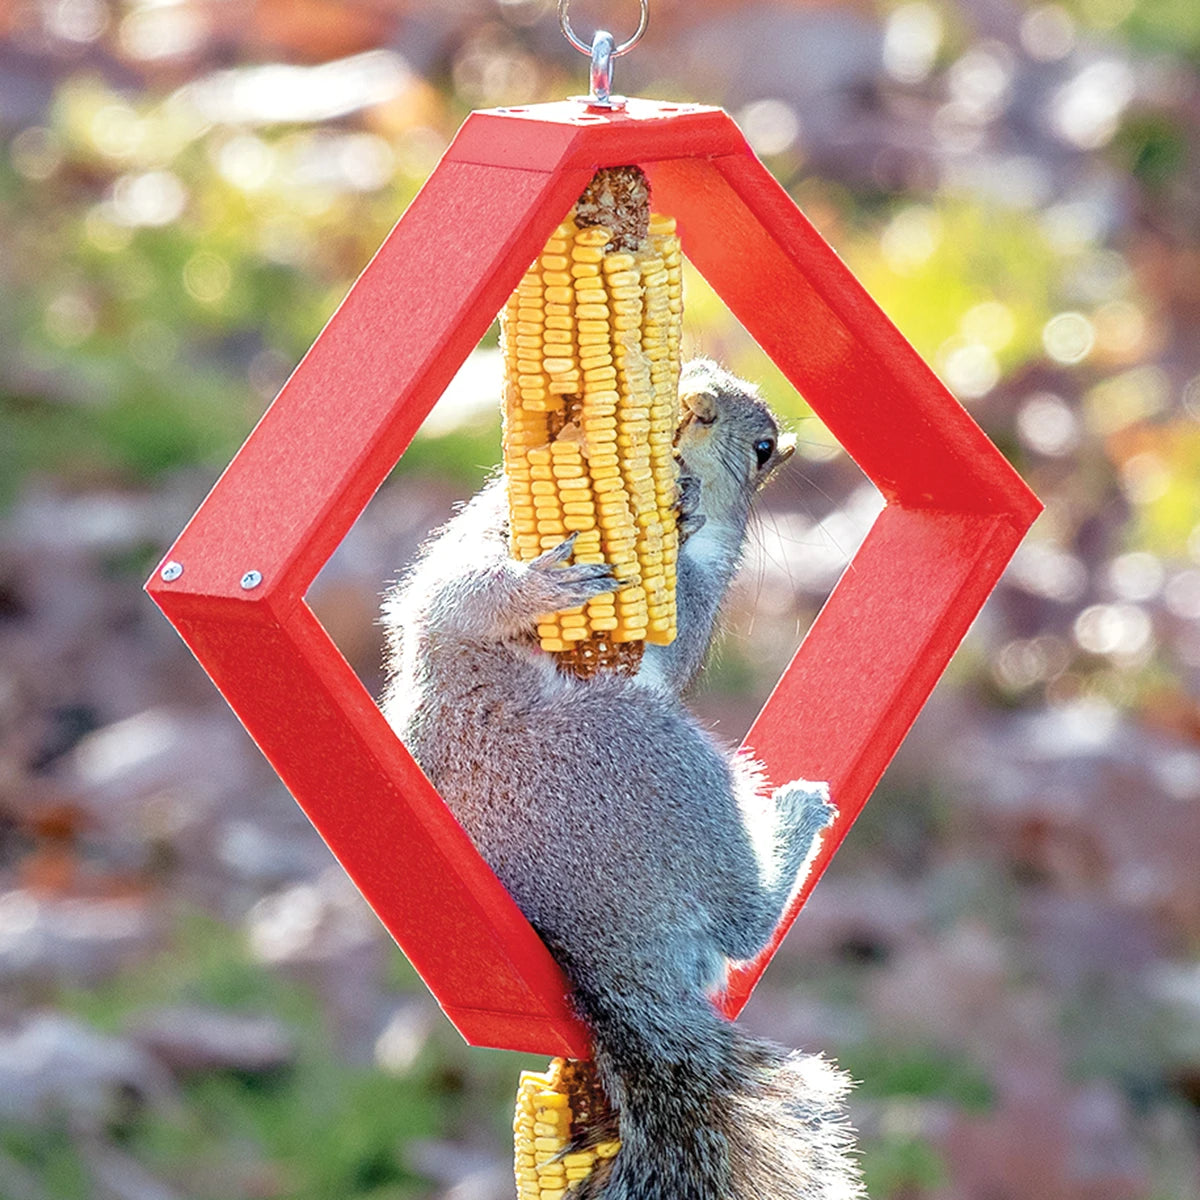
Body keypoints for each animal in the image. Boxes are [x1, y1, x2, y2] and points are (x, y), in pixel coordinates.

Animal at [380, 358, 862, 1200]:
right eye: (696, 370)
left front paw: (692, 506)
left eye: (764, 450)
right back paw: (795, 817)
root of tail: (610, 963)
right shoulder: (478, 544)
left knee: (742, 925)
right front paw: (545, 587)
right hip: (640, 754)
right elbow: (468, 593)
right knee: (741, 924)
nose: (698, 407)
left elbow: (683, 617)